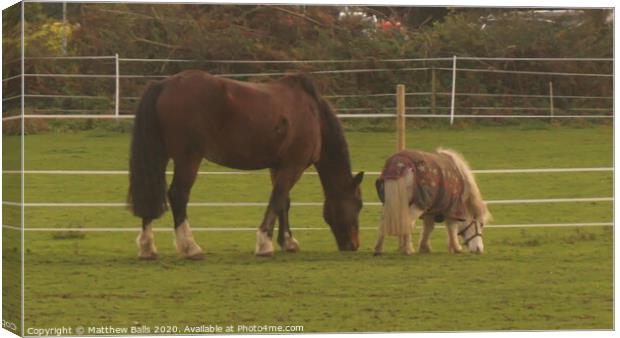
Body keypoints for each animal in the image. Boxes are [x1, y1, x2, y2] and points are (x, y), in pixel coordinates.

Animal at [129, 69, 366, 258]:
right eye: (359, 204)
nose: (353, 245)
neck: (312, 113)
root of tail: (164, 85)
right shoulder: (293, 166)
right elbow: (277, 199)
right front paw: (264, 244)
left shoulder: (278, 166)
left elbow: (284, 202)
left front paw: (287, 242)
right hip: (188, 158)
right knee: (178, 195)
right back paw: (190, 247)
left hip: (160, 156)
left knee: (151, 194)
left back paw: (147, 248)